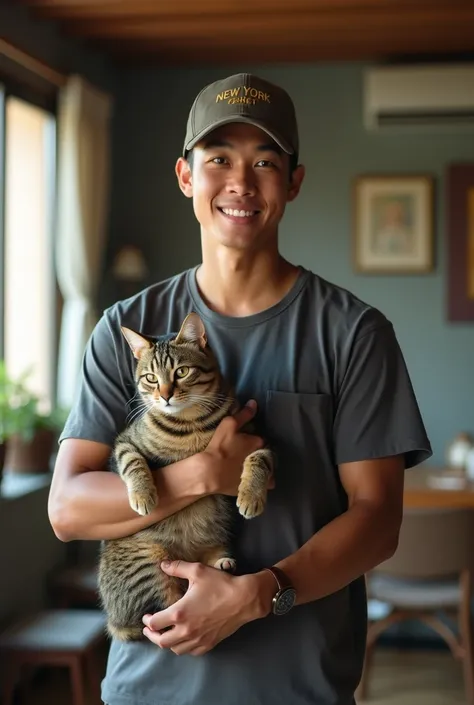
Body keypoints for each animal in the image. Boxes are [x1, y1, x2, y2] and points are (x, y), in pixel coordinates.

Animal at [98, 310, 272, 640]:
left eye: (181, 372)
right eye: (151, 378)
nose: (165, 396)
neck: (190, 423)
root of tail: (114, 620)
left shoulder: (258, 439)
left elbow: (260, 460)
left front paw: (251, 497)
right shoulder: (124, 442)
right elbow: (132, 462)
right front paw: (143, 495)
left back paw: (221, 562)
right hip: (150, 562)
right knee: (163, 613)